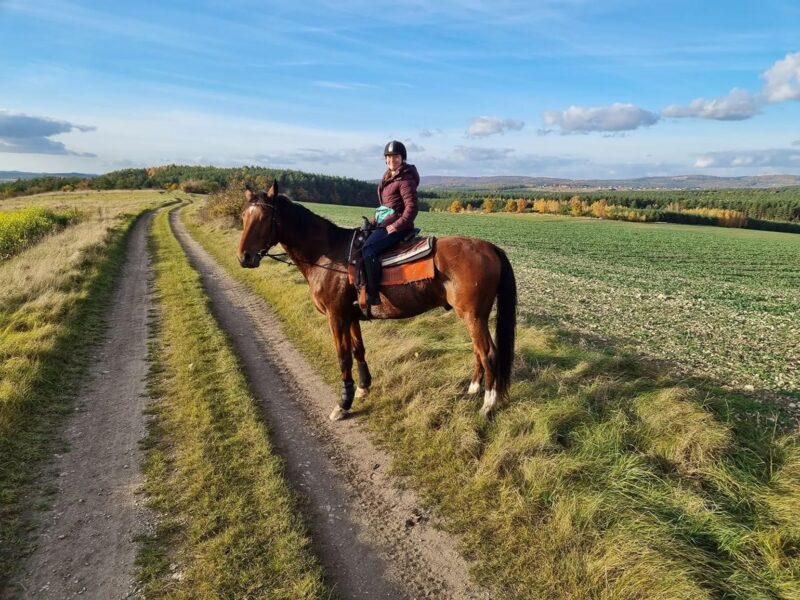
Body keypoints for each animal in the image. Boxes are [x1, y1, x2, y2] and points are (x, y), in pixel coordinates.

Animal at [236, 183, 520, 422]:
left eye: (264, 218)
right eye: (243, 217)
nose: (244, 257)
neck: (328, 256)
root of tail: (490, 247)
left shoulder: (336, 316)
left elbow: (343, 357)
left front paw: (343, 404)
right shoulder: (351, 315)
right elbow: (358, 350)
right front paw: (362, 388)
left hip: (473, 316)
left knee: (489, 353)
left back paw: (488, 405)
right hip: (473, 316)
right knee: (479, 351)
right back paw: (474, 388)